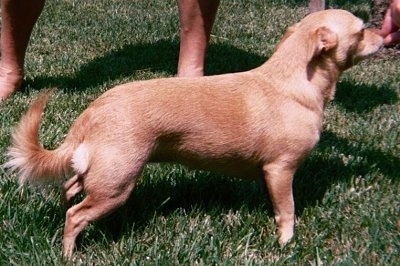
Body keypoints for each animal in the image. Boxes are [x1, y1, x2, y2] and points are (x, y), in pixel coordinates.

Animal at [4, 9, 382, 256]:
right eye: (362, 30)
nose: (384, 34)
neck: (292, 77)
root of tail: (93, 110)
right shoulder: (281, 169)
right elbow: (287, 208)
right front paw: (286, 242)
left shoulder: (269, 174)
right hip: (116, 184)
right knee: (76, 216)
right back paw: (69, 252)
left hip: (100, 171)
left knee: (71, 187)